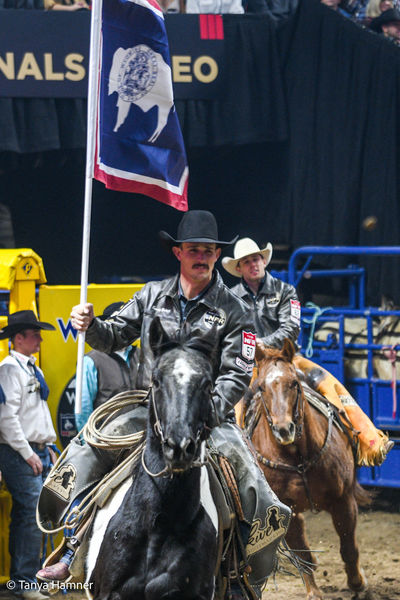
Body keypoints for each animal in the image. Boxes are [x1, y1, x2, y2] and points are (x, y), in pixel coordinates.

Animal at [238, 340, 372, 596]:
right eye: (261, 388)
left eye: (294, 383)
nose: (284, 429)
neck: (297, 459)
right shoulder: (285, 508)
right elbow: (302, 554)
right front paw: (314, 593)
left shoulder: (343, 500)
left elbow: (349, 546)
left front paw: (358, 583)